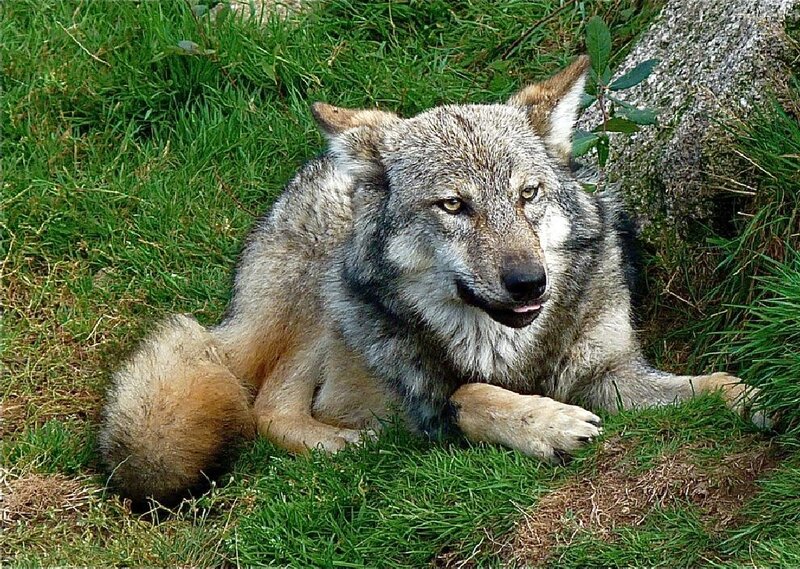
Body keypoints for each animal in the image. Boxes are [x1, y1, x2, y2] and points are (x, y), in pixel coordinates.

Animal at [99, 56, 757, 507]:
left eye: (528, 195)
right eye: (454, 205)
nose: (529, 283)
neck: (510, 352)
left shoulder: (611, 374)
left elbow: (711, 388)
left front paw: (755, 397)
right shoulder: (428, 402)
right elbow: (471, 395)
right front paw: (549, 425)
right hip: (329, 304)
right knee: (267, 405)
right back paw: (359, 445)